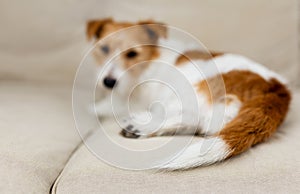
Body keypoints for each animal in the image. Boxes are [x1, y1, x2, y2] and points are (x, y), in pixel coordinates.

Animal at [86, 18, 290, 170]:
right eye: (104, 49)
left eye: (132, 54)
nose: (108, 82)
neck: (151, 59)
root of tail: (276, 87)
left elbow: (98, 107)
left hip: (186, 90)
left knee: (193, 117)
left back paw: (140, 124)